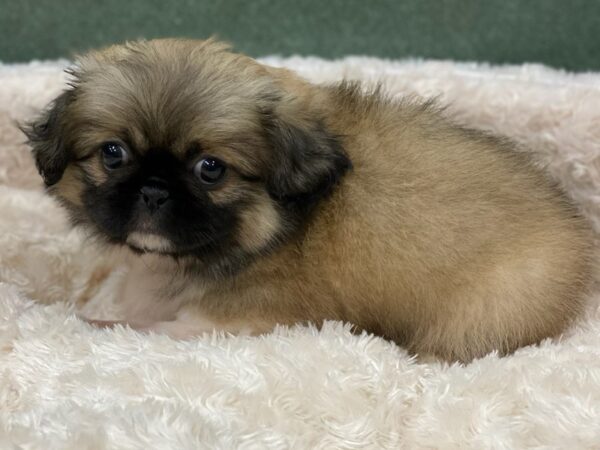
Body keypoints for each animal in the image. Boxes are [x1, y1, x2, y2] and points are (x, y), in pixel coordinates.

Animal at [22, 38, 592, 362]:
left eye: (211, 169)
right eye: (113, 154)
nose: (154, 189)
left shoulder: (235, 322)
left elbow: (150, 327)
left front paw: (99, 321)